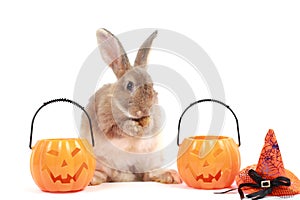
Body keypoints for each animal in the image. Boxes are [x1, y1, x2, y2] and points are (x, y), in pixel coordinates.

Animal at [79, 28, 182, 184]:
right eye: (129, 85)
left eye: (152, 85)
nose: (146, 109)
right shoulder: (105, 122)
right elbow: (117, 129)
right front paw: (133, 127)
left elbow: (152, 126)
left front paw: (146, 125)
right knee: (106, 175)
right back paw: (94, 178)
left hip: (151, 159)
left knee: (148, 175)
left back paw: (169, 175)